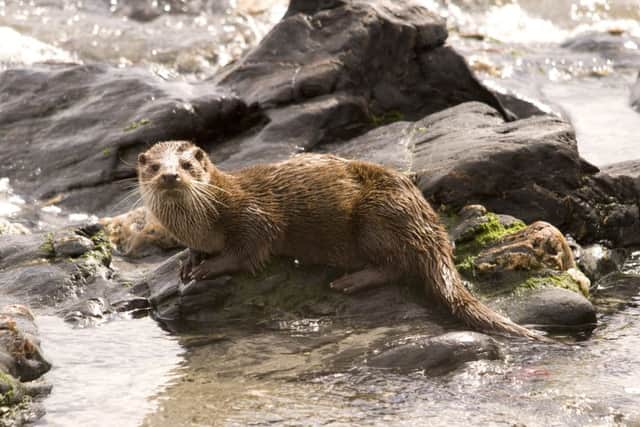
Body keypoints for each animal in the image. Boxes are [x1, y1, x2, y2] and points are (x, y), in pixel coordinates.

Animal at [138, 140, 546, 340]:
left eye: (187, 165)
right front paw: (189, 261)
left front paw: (207, 268)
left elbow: (249, 250)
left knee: (398, 265)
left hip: (377, 217)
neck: (206, 217)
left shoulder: (254, 215)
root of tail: (431, 225)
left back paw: (350, 281)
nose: (170, 176)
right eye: (154, 166)